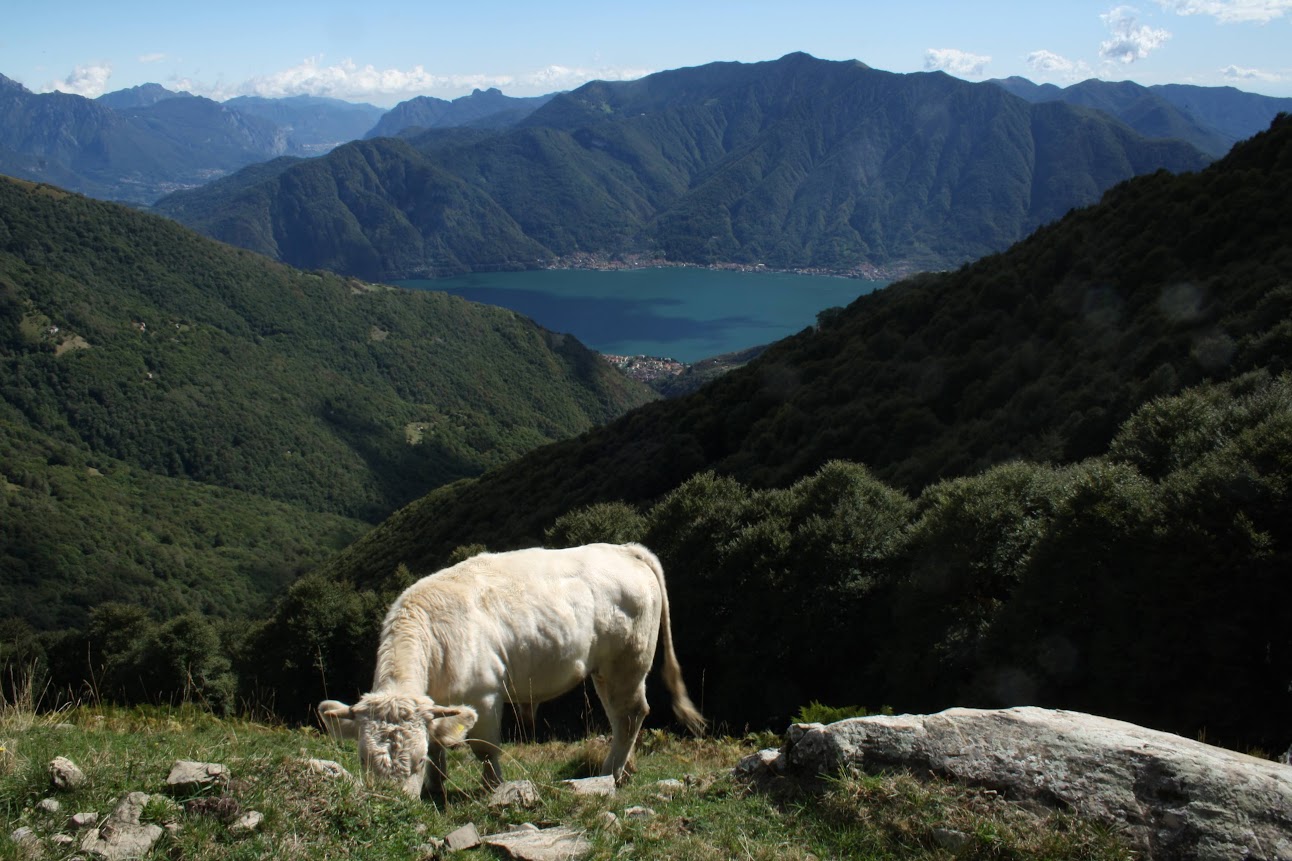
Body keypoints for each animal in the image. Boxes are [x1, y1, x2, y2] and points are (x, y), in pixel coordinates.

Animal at [319, 543, 706, 800]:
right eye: (363, 758)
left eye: (413, 762)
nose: (388, 804)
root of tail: (626, 549)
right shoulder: (439, 704)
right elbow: (439, 746)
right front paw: (435, 788)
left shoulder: (485, 694)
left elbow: (485, 749)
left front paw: (492, 789)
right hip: (607, 670)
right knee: (621, 717)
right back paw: (622, 770)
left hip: (627, 662)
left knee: (630, 715)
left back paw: (610, 773)